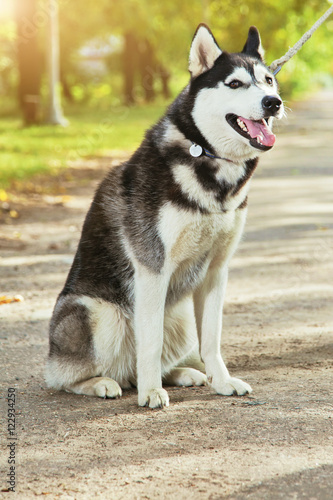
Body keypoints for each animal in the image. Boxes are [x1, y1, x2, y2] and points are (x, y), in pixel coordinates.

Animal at [44, 23, 282, 408]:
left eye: (268, 81)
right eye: (234, 83)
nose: (272, 103)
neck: (208, 159)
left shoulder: (216, 270)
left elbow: (211, 339)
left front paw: (221, 381)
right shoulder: (153, 269)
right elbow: (151, 342)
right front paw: (151, 392)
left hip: (179, 313)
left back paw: (182, 374)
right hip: (100, 313)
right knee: (66, 377)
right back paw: (101, 383)